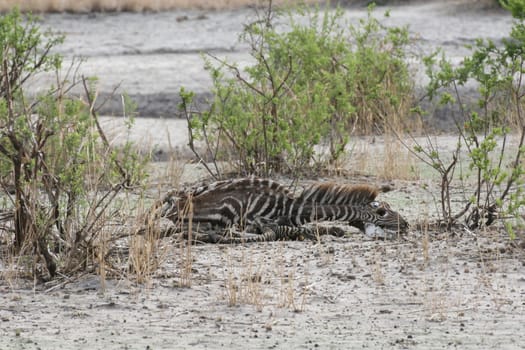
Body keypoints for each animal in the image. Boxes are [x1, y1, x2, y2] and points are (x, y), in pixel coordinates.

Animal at [158, 178, 408, 243]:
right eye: (383, 212)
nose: (407, 225)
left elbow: (322, 228)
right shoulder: (265, 221)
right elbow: (296, 231)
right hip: (225, 208)